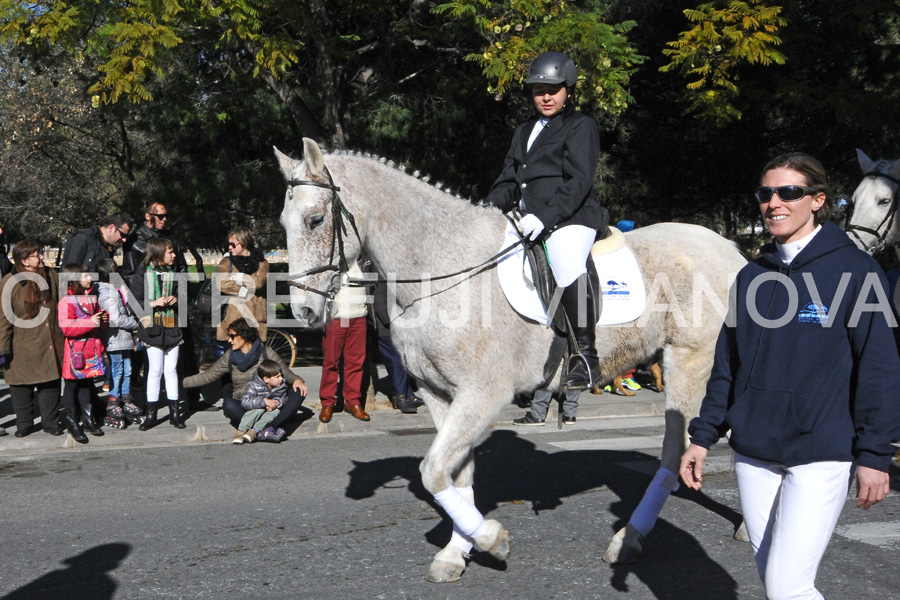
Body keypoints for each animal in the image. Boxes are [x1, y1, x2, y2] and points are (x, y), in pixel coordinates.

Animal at [272, 138, 744, 580]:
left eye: (315, 220)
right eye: (284, 223)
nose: (305, 312)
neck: (441, 266)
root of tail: (733, 251)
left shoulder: (483, 393)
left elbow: (433, 471)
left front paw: (491, 539)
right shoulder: (439, 393)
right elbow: (455, 475)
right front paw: (456, 552)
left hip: (689, 361)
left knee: (675, 452)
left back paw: (630, 538)